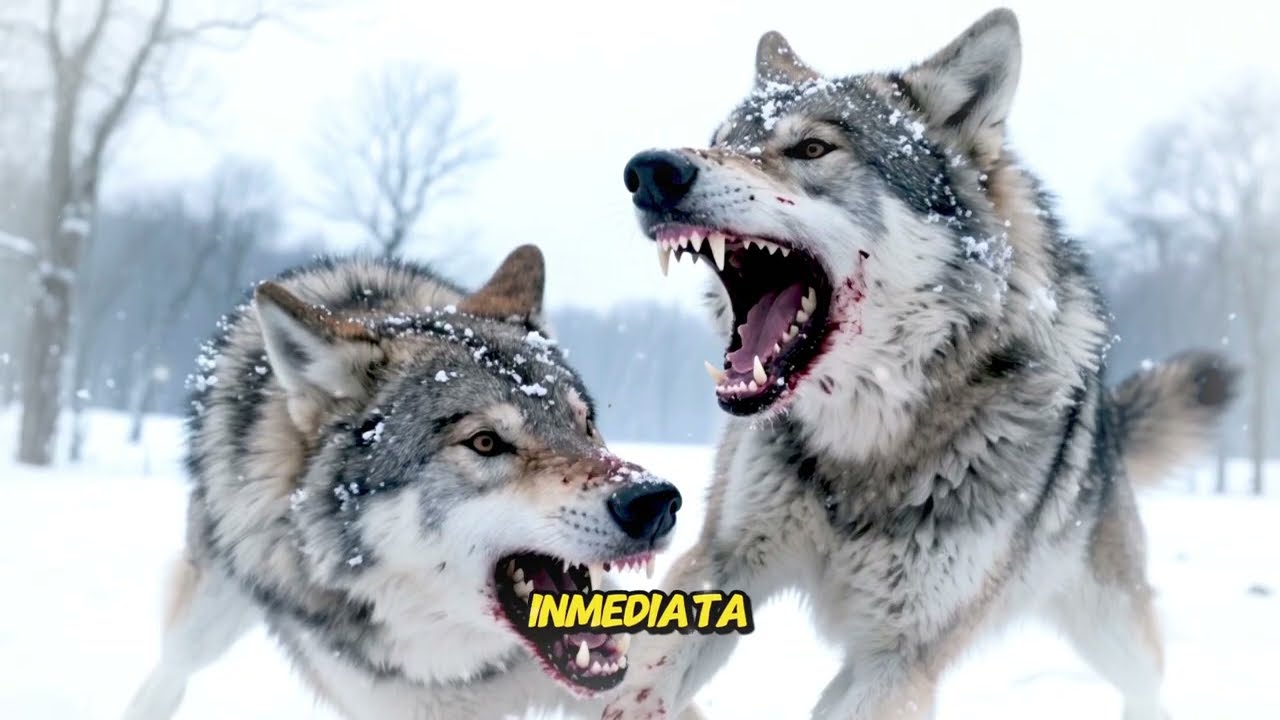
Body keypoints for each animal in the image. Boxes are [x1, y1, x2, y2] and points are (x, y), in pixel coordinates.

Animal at [120, 245, 703, 720]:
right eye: (485, 442)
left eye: (585, 424)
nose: (654, 501)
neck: (468, 662)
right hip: (206, 620)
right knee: (166, 676)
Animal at [605, 8, 1240, 720]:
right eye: (720, 140)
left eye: (812, 149)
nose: (650, 171)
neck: (863, 445)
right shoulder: (719, 565)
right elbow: (639, 684)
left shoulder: (903, 659)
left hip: (1112, 632)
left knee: (1149, 681)